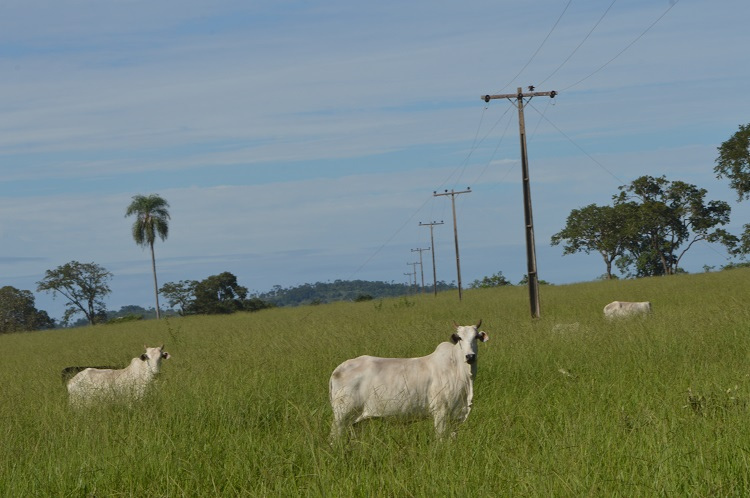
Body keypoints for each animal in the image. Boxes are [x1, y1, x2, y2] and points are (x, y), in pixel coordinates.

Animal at [332, 320, 490, 440]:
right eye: (460, 338)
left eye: (476, 337)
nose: (470, 356)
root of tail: (338, 370)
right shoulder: (440, 411)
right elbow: (440, 438)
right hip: (341, 417)